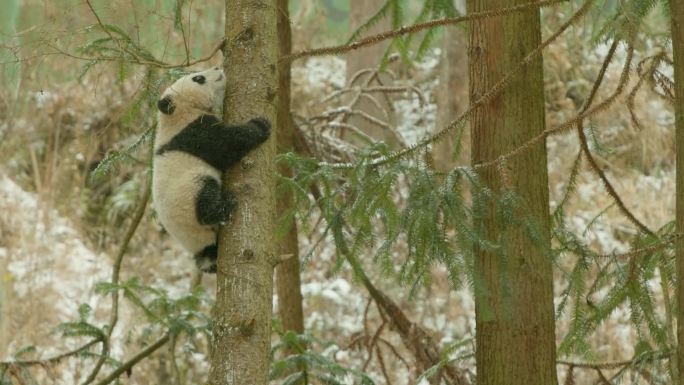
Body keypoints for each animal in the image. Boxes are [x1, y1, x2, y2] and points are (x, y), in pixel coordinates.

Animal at [154, 66, 272, 272]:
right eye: (198, 78)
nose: (218, 67)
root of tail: (200, 247)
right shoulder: (193, 133)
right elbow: (226, 144)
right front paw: (260, 125)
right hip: (187, 195)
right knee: (205, 199)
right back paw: (225, 205)